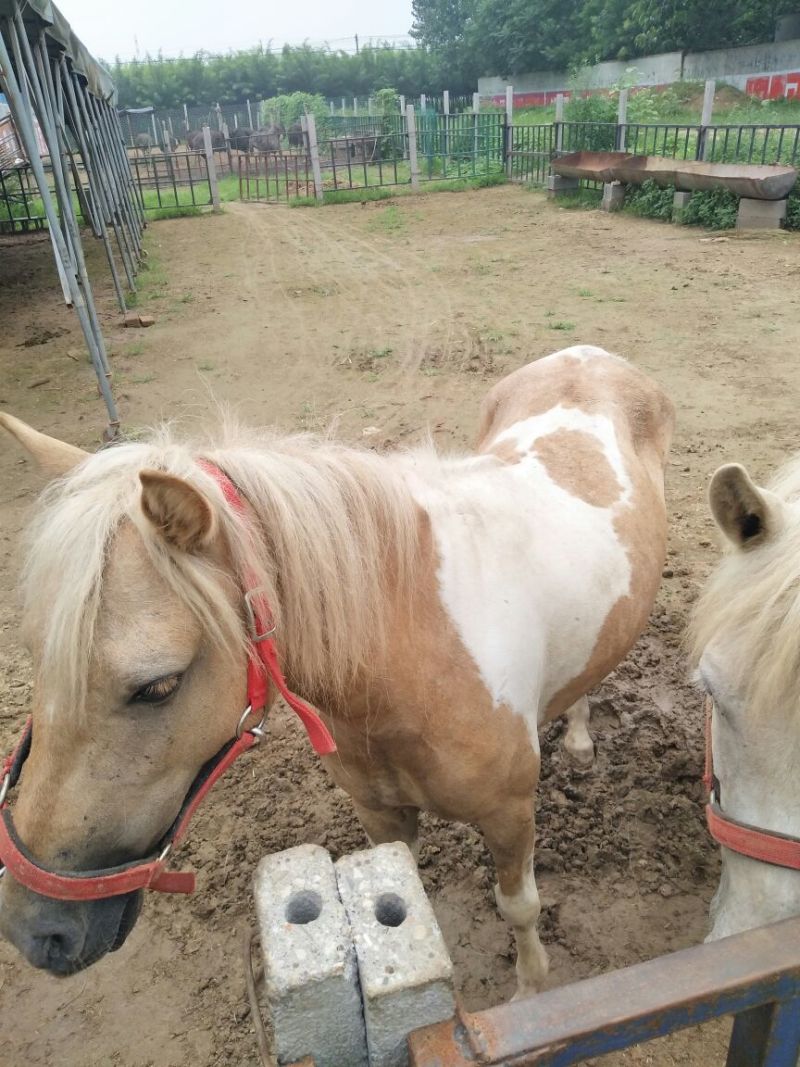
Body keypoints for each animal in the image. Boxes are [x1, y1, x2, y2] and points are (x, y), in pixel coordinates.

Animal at [0, 346, 673, 992]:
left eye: (158, 686)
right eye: (35, 650)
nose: (37, 931)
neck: (416, 652)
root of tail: (586, 355)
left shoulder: (509, 815)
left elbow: (520, 908)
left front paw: (530, 990)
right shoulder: (380, 814)